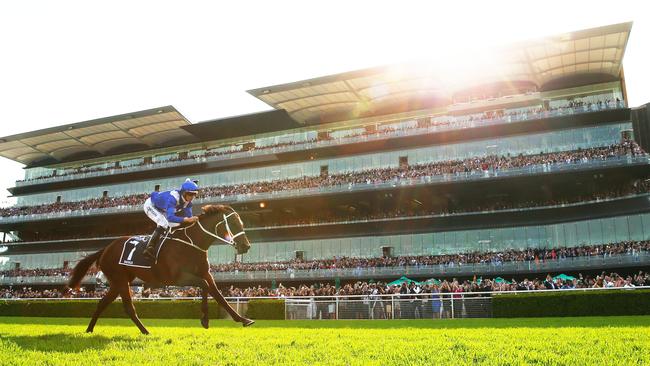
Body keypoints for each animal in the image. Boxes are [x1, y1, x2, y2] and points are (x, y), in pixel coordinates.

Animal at [68, 204, 251, 334]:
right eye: (233, 223)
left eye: (242, 223)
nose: (246, 246)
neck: (191, 243)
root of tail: (106, 248)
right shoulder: (179, 277)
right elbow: (205, 286)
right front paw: (205, 320)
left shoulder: (205, 274)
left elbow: (219, 295)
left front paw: (242, 319)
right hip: (119, 279)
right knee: (128, 307)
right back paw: (145, 331)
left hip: (119, 281)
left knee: (102, 303)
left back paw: (89, 329)